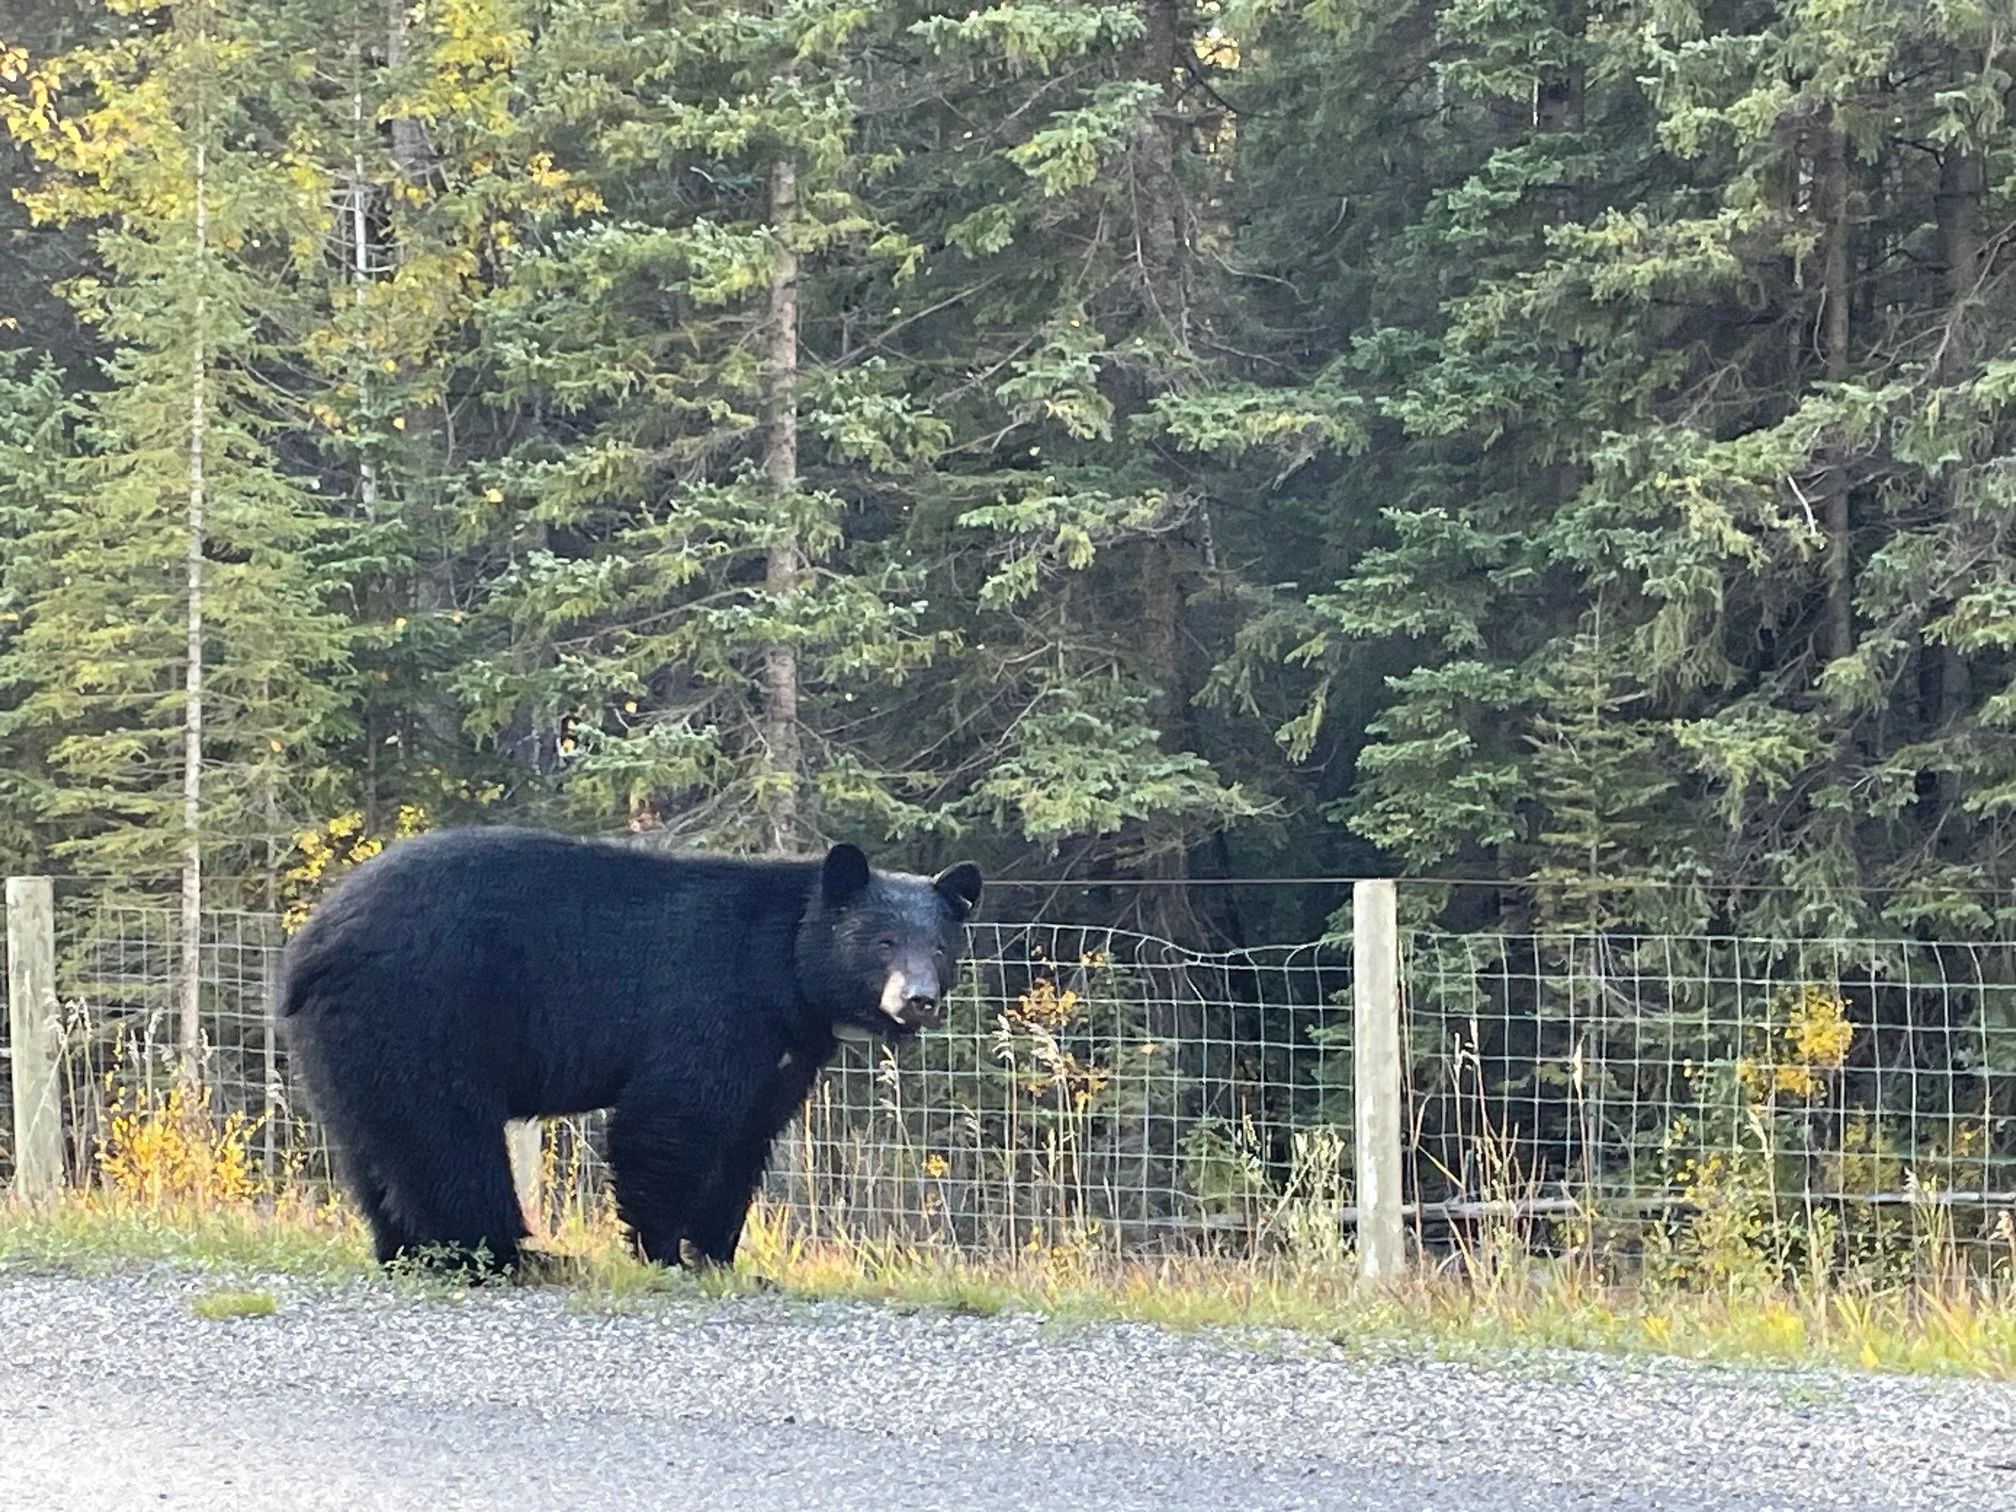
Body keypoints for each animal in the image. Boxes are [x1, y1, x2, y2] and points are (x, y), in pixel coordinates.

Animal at [275, 826, 982, 1274]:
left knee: (375, 1145)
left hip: (345, 1042)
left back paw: (405, 1250)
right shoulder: (708, 1004)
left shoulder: (780, 1052)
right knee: (445, 1137)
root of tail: (309, 944)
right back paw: (507, 1252)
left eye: (939, 947)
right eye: (883, 942)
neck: (783, 970)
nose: (919, 999)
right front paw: (664, 1253)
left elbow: (745, 1140)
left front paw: (721, 1257)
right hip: (421, 1011)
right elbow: (669, 1121)